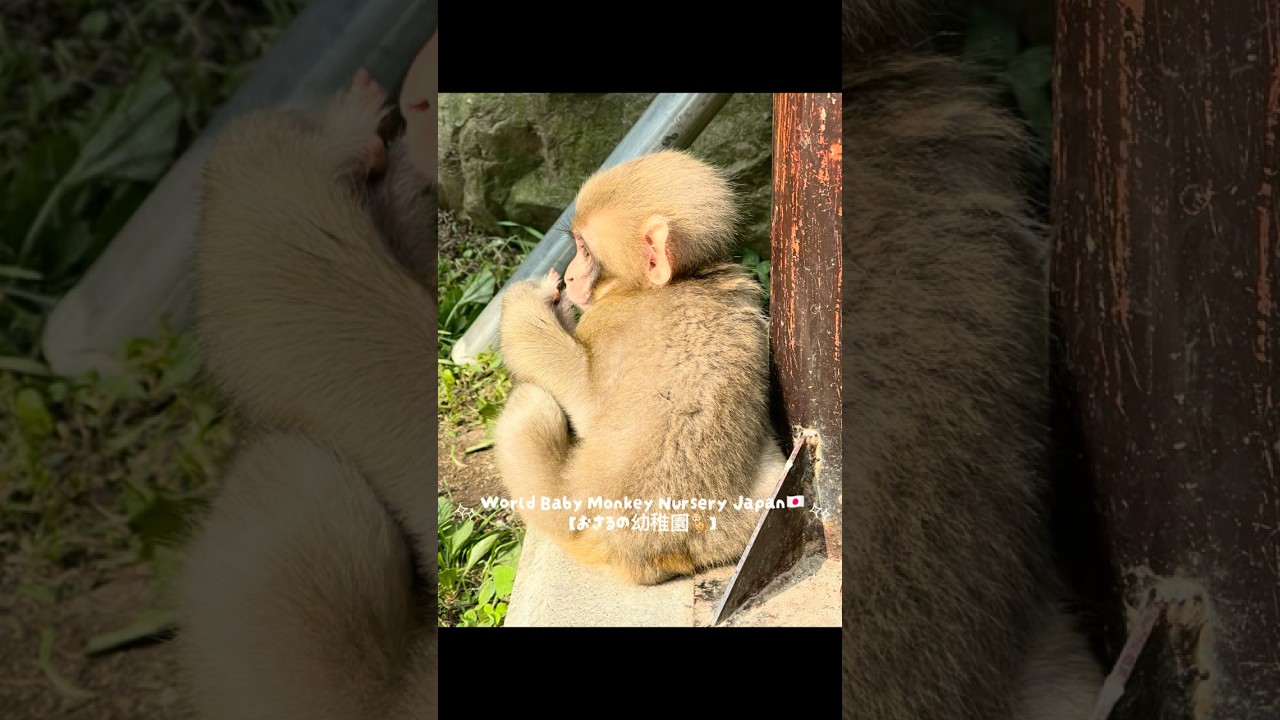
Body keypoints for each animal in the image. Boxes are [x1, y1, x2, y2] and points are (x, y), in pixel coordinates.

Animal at [493, 150, 787, 586]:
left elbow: (578, 394)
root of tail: (643, 548)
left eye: (584, 249)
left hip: (562, 511)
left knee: (532, 403)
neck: (679, 282)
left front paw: (539, 298)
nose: (570, 276)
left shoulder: (608, 320)